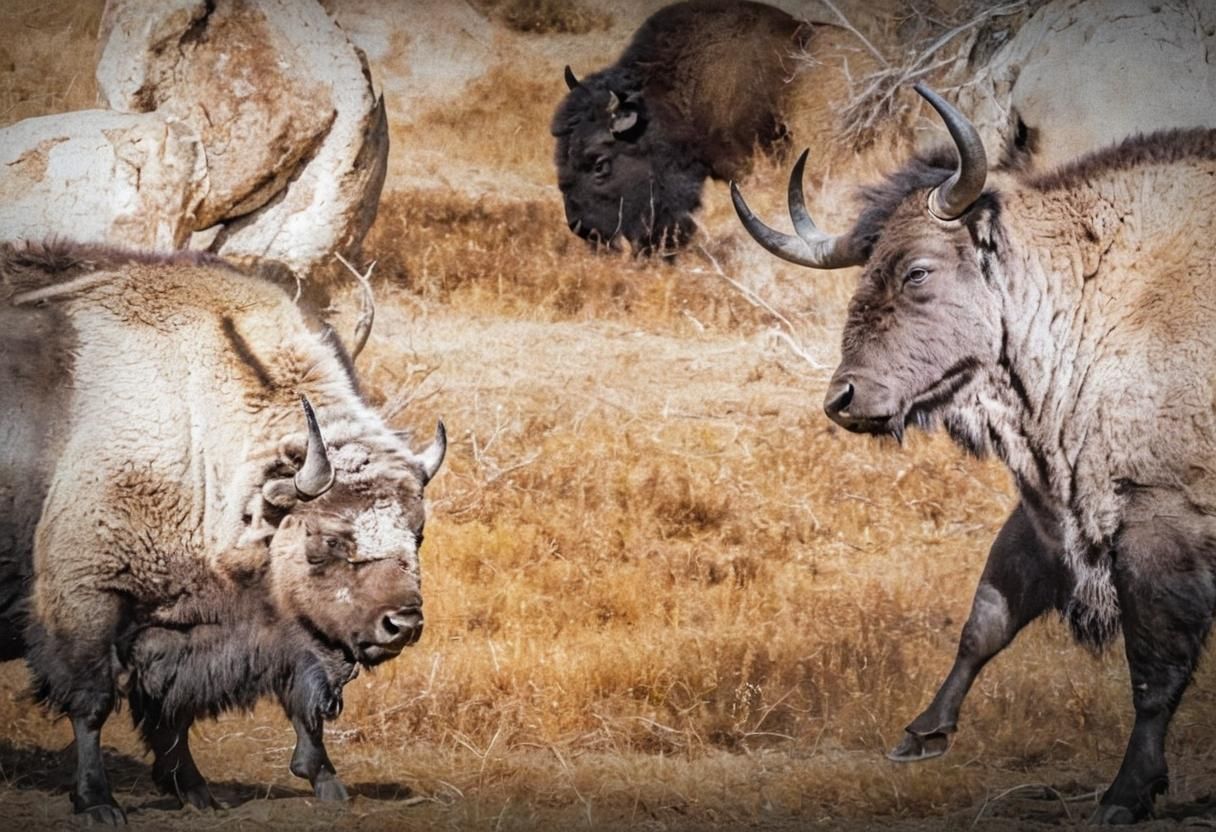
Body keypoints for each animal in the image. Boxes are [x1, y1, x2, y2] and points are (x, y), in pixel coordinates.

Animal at [0, 242, 446, 822]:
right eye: (328, 538)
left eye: (417, 533)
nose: (402, 623)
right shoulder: (87, 599)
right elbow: (93, 704)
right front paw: (98, 802)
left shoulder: (193, 627)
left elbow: (182, 710)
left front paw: (204, 790)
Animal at [734, 86, 1216, 824]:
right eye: (867, 269)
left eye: (918, 270)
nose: (845, 398)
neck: (1097, 291)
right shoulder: (1044, 512)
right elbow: (985, 621)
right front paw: (921, 732)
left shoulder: (1158, 523)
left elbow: (1153, 671)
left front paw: (1125, 795)